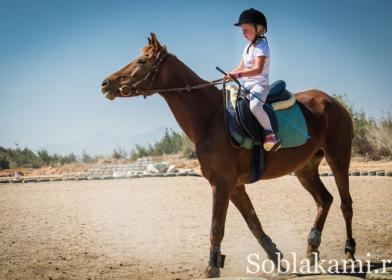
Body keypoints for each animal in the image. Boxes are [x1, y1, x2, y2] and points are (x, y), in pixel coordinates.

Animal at [100, 33, 356, 278]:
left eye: (142, 61)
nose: (105, 83)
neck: (211, 119)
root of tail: (331, 101)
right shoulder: (235, 187)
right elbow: (254, 224)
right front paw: (277, 260)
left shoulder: (221, 184)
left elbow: (216, 228)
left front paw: (212, 267)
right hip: (305, 168)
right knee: (324, 200)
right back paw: (311, 251)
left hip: (338, 159)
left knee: (345, 204)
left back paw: (349, 254)